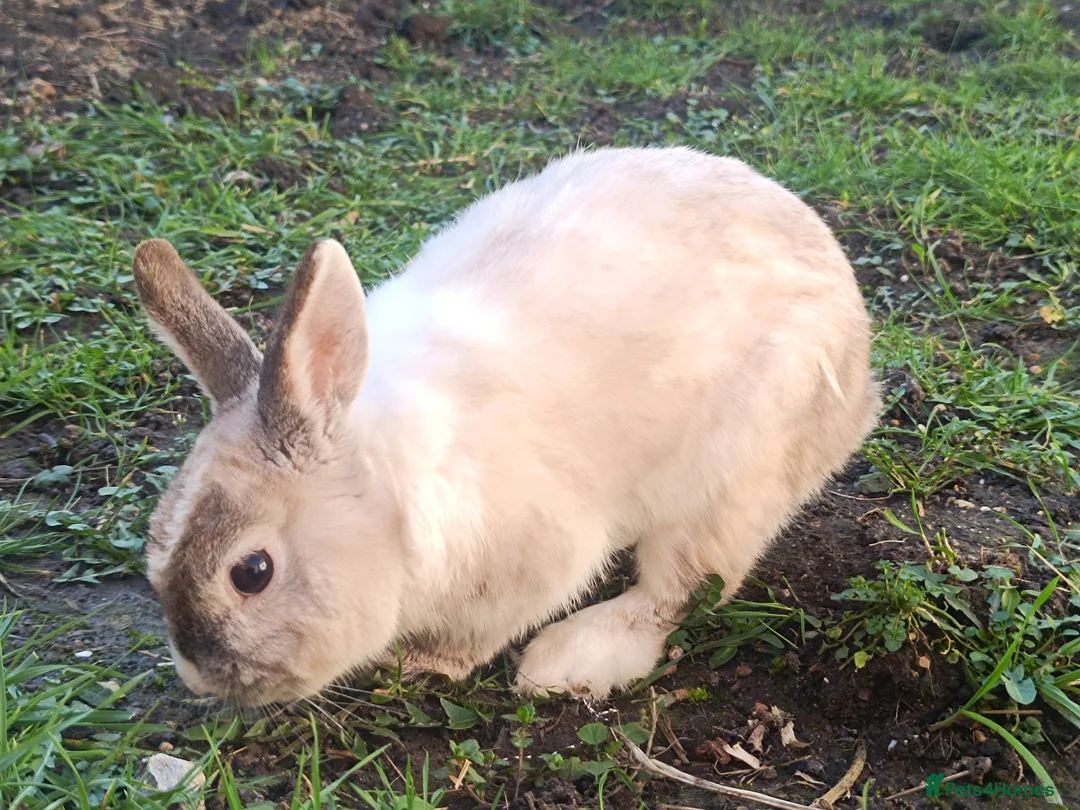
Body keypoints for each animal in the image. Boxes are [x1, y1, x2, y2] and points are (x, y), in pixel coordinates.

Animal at [133, 145, 880, 708]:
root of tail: (860, 372)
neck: (388, 495)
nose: (200, 677)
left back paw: (567, 663)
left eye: (251, 572)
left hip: (731, 480)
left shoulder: (531, 565)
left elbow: (477, 636)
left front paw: (420, 666)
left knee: (681, 587)